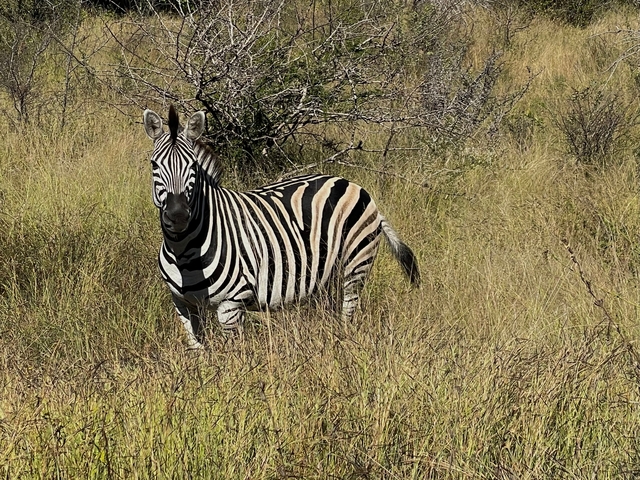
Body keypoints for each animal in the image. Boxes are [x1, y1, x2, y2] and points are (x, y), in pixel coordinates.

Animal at [143, 105, 420, 349]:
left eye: (192, 167)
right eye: (154, 165)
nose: (178, 216)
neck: (185, 250)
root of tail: (352, 184)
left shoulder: (231, 305)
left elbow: (233, 358)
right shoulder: (183, 305)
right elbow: (198, 351)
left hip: (356, 264)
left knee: (347, 315)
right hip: (328, 274)